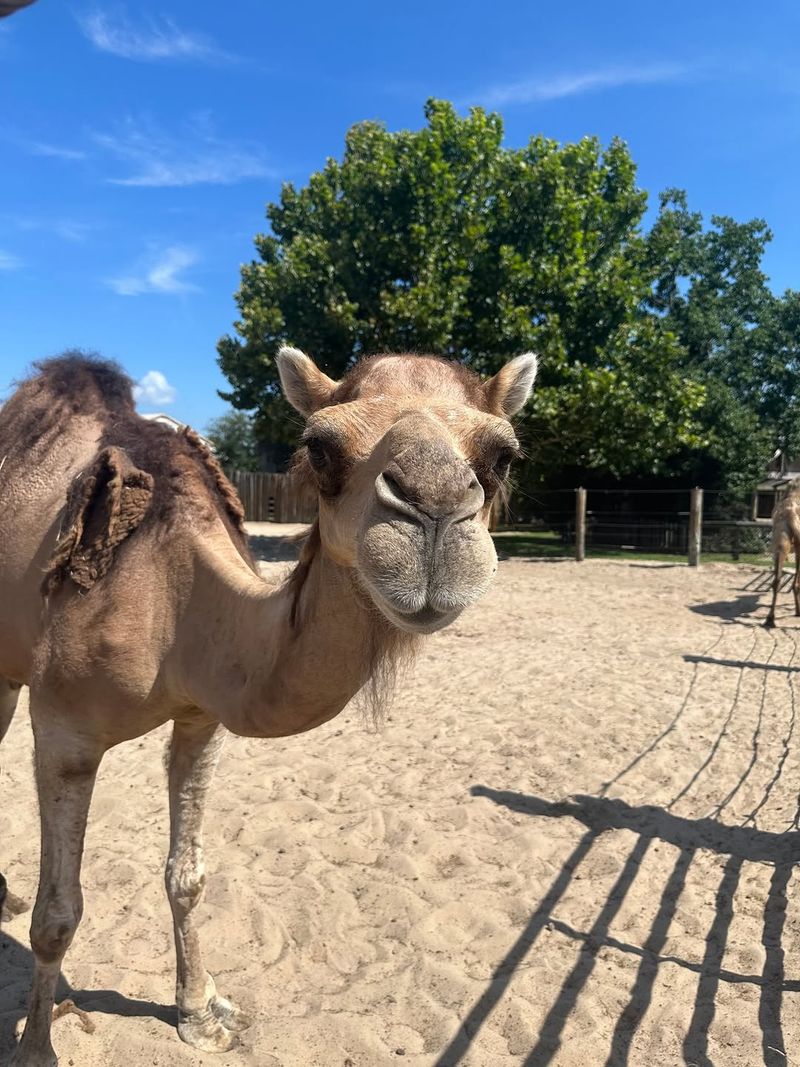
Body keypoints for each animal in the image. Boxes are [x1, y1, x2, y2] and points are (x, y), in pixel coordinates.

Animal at [0, 345, 536, 1065]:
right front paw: (35, 1048)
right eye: (321, 446)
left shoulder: (201, 720)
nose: (433, 516)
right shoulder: (64, 729)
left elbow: (187, 877)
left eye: (503, 454)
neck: (173, 601)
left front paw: (200, 1013)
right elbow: (57, 914)